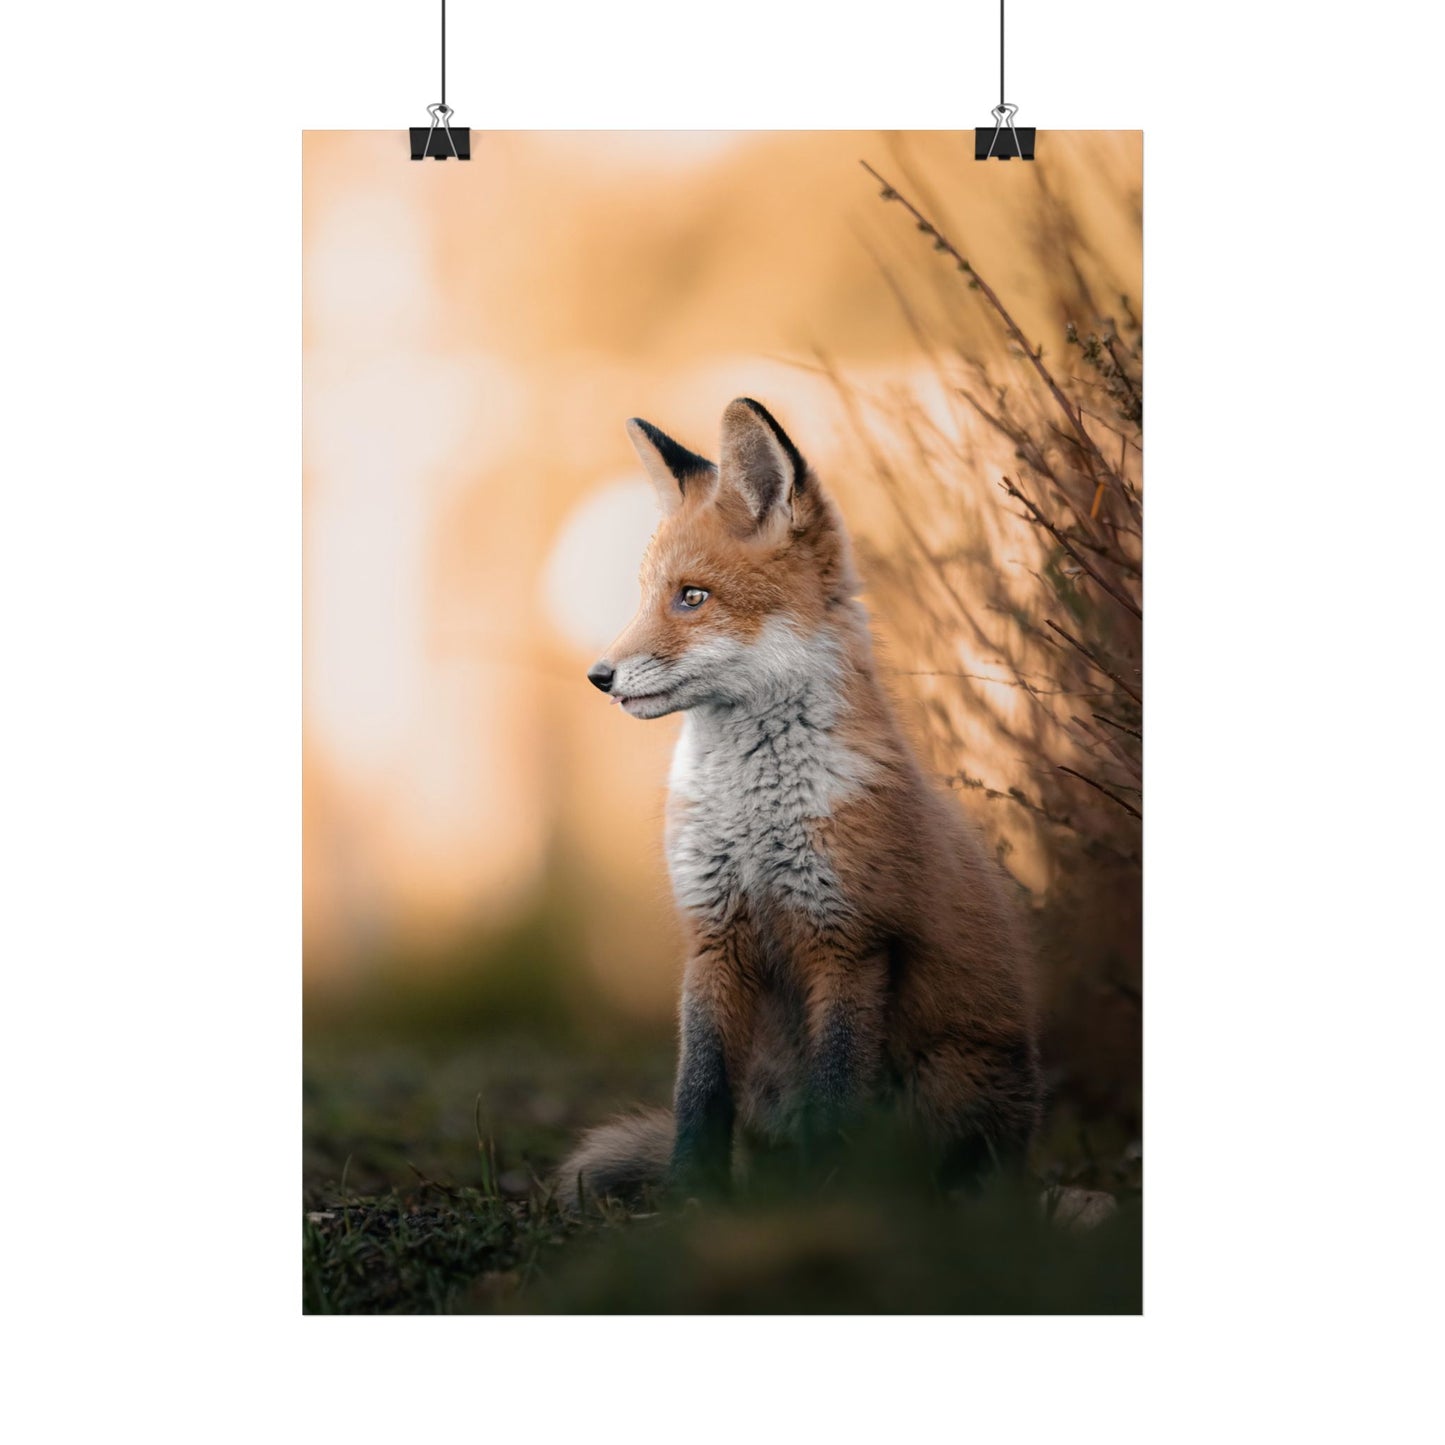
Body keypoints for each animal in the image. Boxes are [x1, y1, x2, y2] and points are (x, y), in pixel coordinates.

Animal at [558, 397, 1041, 1205]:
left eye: (692, 597)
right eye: (646, 595)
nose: (599, 677)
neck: (753, 815)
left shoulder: (848, 939)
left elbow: (835, 1092)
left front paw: (824, 1198)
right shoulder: (712, 935)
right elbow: (698, 1090)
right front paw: (691, 1199)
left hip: (951, 1081)